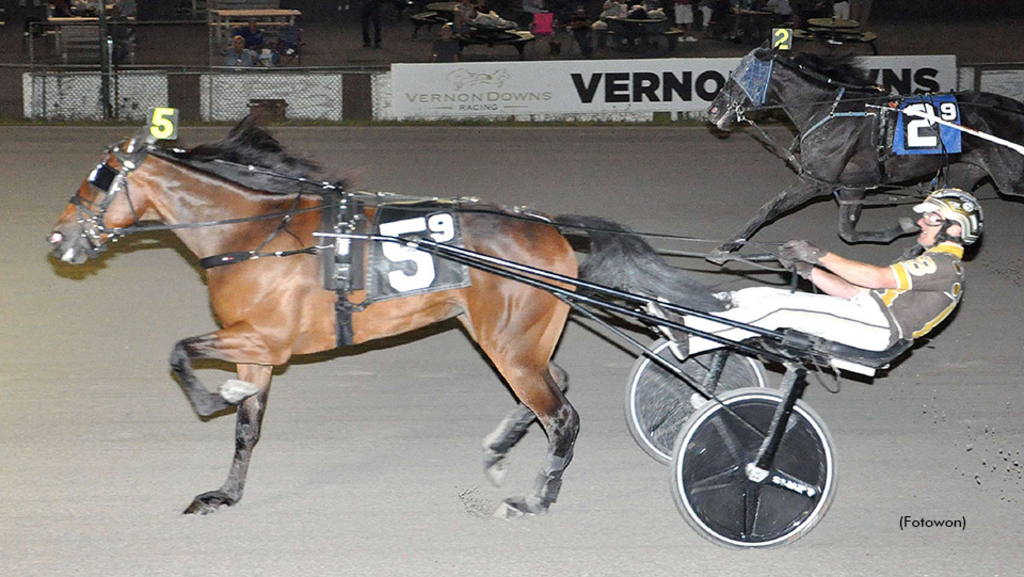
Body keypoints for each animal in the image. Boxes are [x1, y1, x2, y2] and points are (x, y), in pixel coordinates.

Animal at [46, 121, 720, 518]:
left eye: (98, 180)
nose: (58, 240)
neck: (254, 234)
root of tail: (547, 225)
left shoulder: (264, 338)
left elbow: (179, 350)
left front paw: (214, 397)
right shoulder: (256, 349)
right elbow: (245, 430)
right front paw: (225, 493)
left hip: (509, 342)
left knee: (562, 416)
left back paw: (535, 499)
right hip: (512, 338)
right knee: (554, 388)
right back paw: (500, 448)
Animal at [704, 47, 1024, 259]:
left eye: (739, 78)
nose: (712, 112)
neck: (828, 110)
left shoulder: (816, 182)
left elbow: (769, 208)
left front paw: (725, 247)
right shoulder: (853, 185)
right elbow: (847, 231)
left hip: (1010, 178)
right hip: (965, 170)